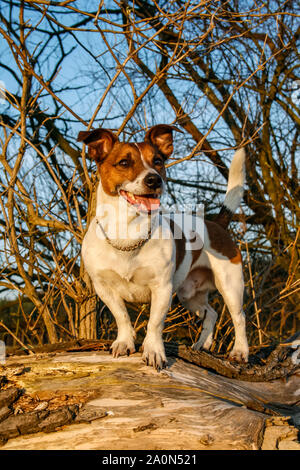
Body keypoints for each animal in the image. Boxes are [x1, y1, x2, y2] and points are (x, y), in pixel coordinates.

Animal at [78, 125, 248, 370]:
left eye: (157, 161)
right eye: (124, 162)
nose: (154, 180)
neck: (128, 233)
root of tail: (216, 223)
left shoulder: (162, 288)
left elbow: (154, 324)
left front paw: (154, 351)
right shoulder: (104, 288)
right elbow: (122, 316)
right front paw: (124, 342)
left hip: (230, 284)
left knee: (239, 317)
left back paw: (240, 352)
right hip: (188, 293)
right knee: (211, 313)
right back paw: (202, 345)